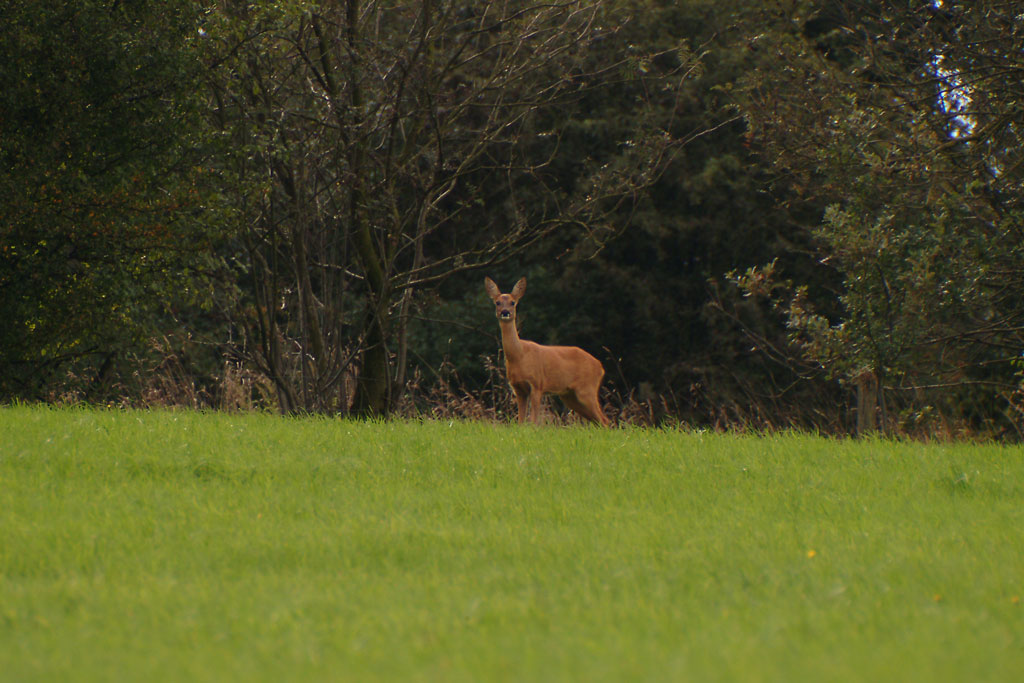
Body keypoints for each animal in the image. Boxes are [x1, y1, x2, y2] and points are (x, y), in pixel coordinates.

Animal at [481, 274, 606, 423]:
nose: (505, 312)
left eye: (512, 302)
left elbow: (534, 421)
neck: (519, 355)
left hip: (587, 389)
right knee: (598, 420)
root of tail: (600, 367)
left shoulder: (537, 384)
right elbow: (520, 421)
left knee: (604, 420)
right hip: (570, 396)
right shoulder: (518, 389)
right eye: (497, 302)